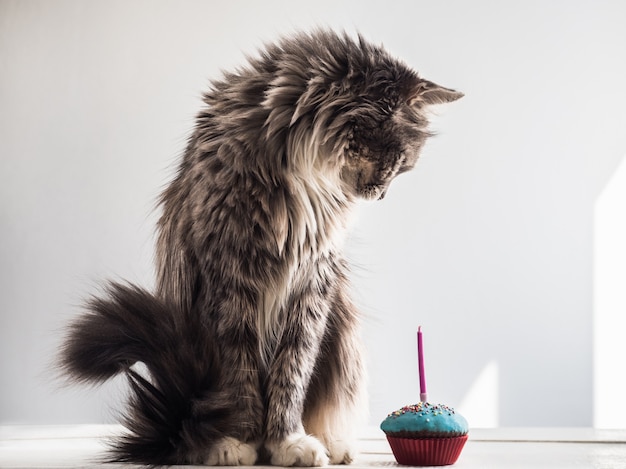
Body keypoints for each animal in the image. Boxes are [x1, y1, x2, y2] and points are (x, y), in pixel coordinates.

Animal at [61, 29, 460, 464]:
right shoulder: (228, 278)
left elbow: (292, 373)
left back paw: (335, 446)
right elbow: (240, 377)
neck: (307, 174)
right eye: (400, 160)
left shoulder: (312, 283)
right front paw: (237, 441)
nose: (382, 195)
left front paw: (288, 442)